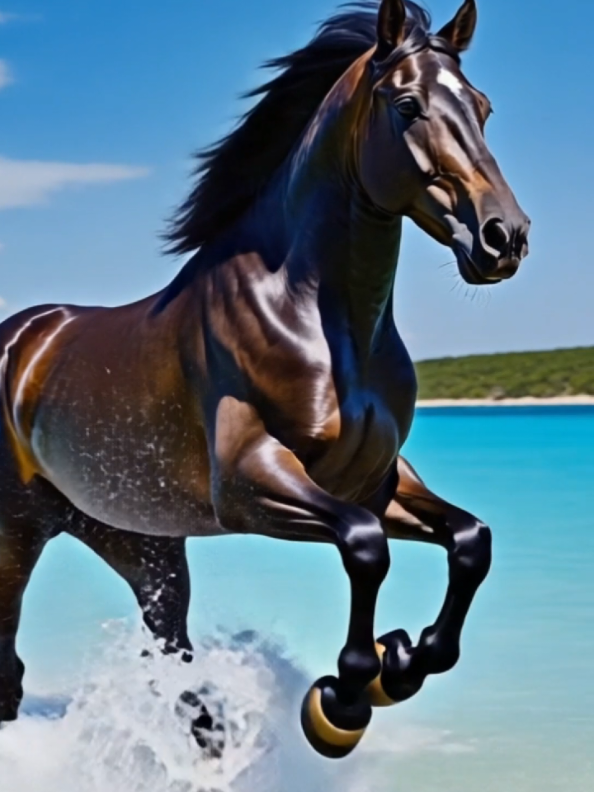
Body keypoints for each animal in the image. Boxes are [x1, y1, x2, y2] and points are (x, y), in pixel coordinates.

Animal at [0, 0, 530, 759]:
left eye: (482, 107)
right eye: (406, 105)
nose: (503, 238)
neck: (320, 322)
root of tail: (25, 338)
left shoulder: (377, 481)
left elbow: (470, 541)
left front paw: (405, 660)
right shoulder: (253, 484)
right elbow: (365, 546)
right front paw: (345, 698)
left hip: (140, 540)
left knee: (169, 654)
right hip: (18, 532)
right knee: (10, 663)